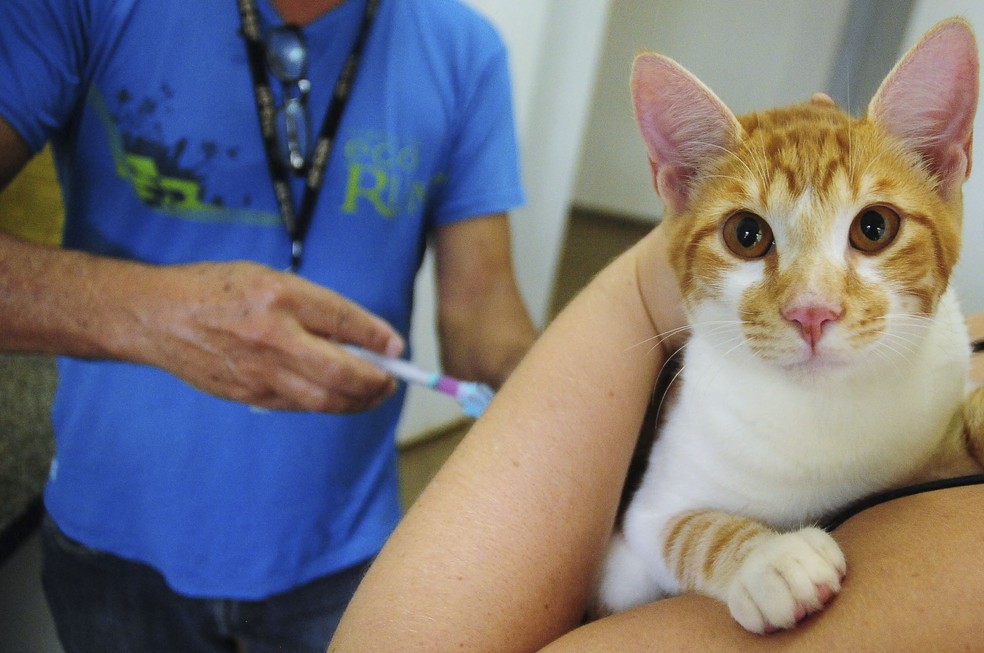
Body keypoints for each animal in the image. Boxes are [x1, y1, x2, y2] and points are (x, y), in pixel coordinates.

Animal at [592, 19, 984, 632]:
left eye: (875, 226)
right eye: (746, 235)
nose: (811, 310)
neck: (823, 412)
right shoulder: (636, 531)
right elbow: (681, 530)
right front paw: (770, 560)